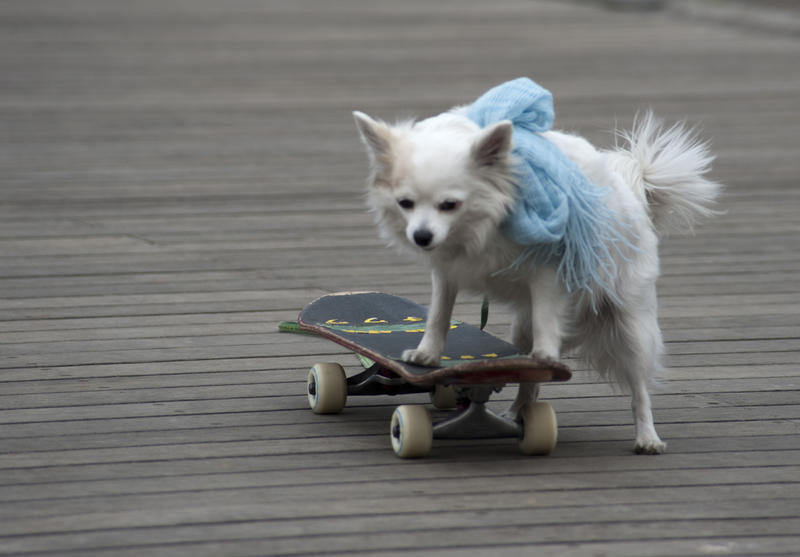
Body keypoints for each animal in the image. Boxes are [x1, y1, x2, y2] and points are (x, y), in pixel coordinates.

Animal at [354, 83, 720, 456]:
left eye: (449, 205)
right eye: (405, 204)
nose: (422, 236)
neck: (486, 220)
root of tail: (633, 194)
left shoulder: (547, 271)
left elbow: (547, 317)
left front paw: (546, 353)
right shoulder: (447, 270)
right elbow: (439, 315)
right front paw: (427, 355)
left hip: (630, 327)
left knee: (638, 390)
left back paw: (647, 437)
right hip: (522, 329)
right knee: (529, 382)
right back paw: (517, 413)